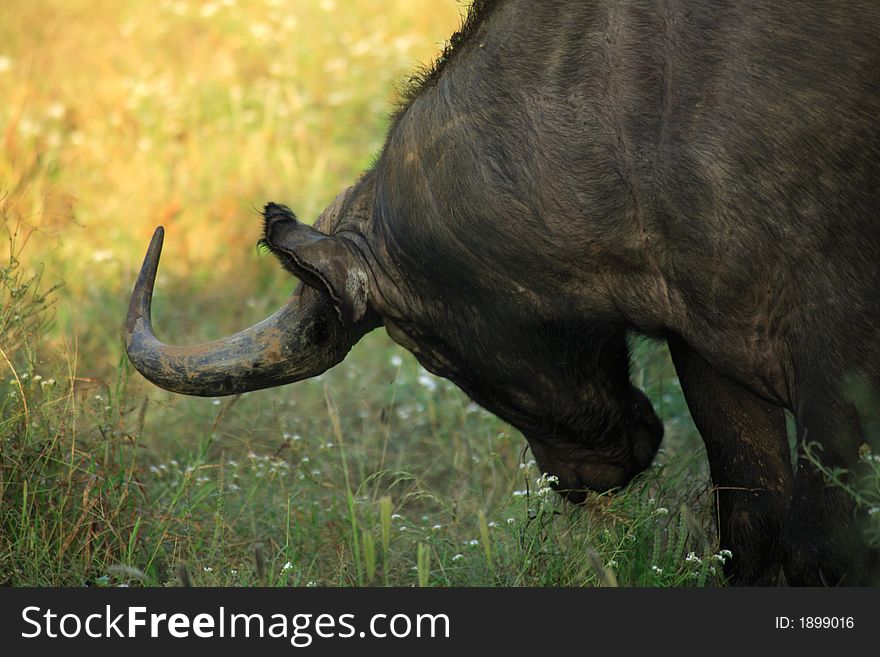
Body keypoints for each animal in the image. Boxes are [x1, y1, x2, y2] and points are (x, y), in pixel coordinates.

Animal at [125, 0, 880, 584]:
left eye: (428, 349)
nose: (575, 479)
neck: (634, 117)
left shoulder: (838, 364)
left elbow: (821, 547)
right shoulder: (708, 352)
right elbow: (751, 527)